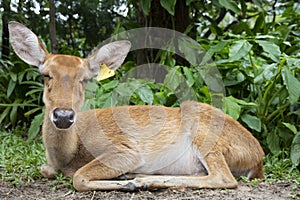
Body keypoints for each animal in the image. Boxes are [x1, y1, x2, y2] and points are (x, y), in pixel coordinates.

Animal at [8, 21, 264, 191]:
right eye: (45, 75)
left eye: (85, 79)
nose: (63, 116)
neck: (69, 154)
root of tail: (258, 157)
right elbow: (46, 170)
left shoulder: (126, 149)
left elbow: (78, 178)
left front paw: (125, 185)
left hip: (204, 129)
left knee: (225, 178)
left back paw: (140, 181)